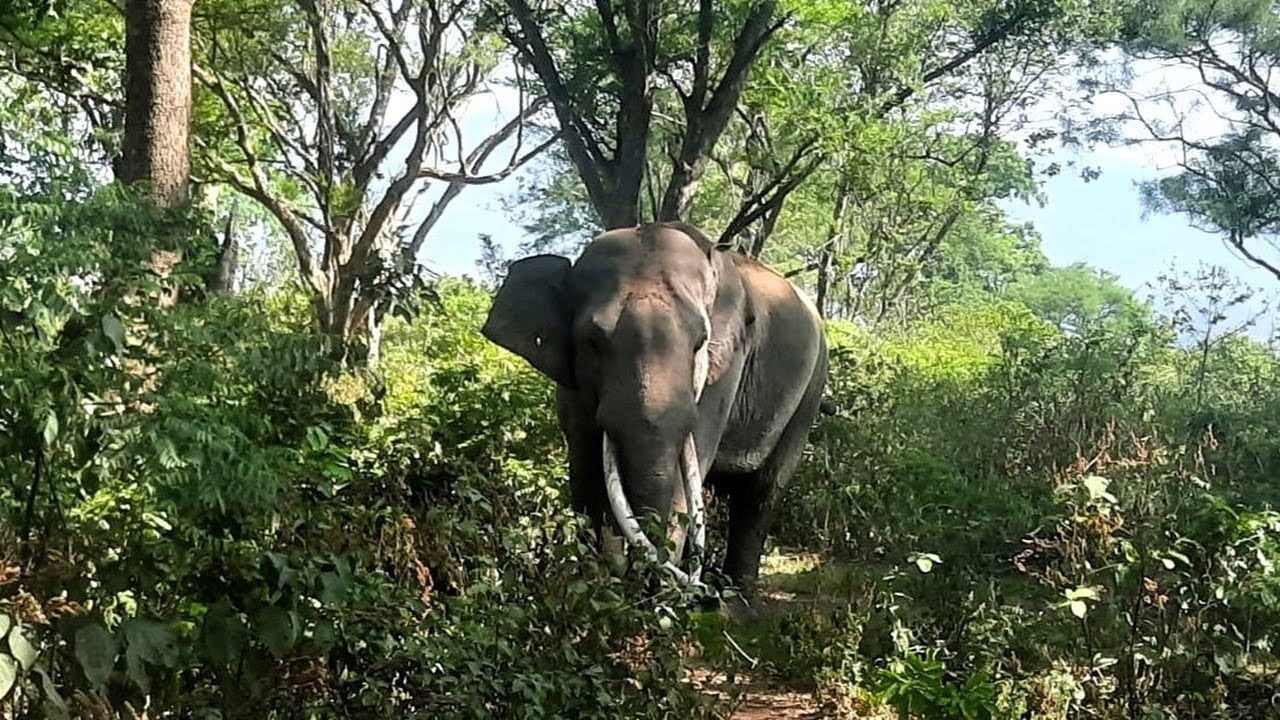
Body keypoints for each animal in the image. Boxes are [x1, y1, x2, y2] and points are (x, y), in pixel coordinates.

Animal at [482, 222, 828, 594]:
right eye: (593, 342)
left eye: (700, 342)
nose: (641, 577)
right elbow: (585, 465)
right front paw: (600, 586)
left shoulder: (726, 369)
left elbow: (687, 467)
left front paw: (654, 597)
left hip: (811, 388)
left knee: (763, 490)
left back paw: (735, 592)